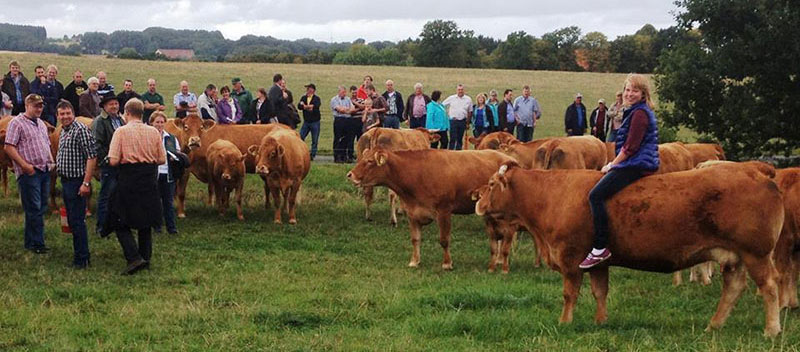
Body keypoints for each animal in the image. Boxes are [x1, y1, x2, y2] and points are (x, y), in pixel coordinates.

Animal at [346, 148, 516, 270]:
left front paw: (447, 264)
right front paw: (414, 261)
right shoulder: (412, 213)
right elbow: (415, 239)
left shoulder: (444, 211)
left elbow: (444, 240)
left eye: (369, 161)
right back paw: (499, 259)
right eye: (361, 158)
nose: (350, 174)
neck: (416, 175)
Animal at [478, 161, 784, 336]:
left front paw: (565, 322)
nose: (477, 202)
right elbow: (600, 291)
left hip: (756, 254)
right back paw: (714, 325)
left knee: (769, 287)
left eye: (491, 184)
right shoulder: (597, 262)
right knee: (733, 288)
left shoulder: (570, 259)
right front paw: (600, 321)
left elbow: (569, 294)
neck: (551, 194)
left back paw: (772, 329)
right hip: (735, 257)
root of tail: (755, 170)